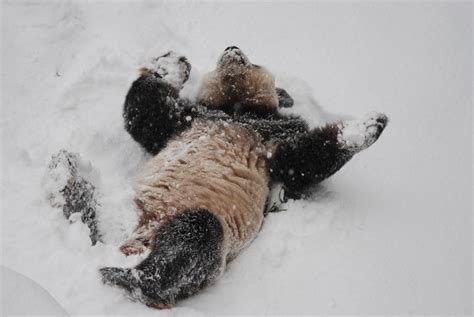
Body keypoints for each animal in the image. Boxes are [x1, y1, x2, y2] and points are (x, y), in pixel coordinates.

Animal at [90, 46, 386, 306]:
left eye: (254, 61)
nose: (231, 47)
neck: (236, 110)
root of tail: (139, 240)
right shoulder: (188, 120)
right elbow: (144, 114)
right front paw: (172, 65)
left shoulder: (275, 138)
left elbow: (303, 162)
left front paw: (368, 126)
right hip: (119, 219)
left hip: (209, 244)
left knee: (195, 237)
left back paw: (130, 279)